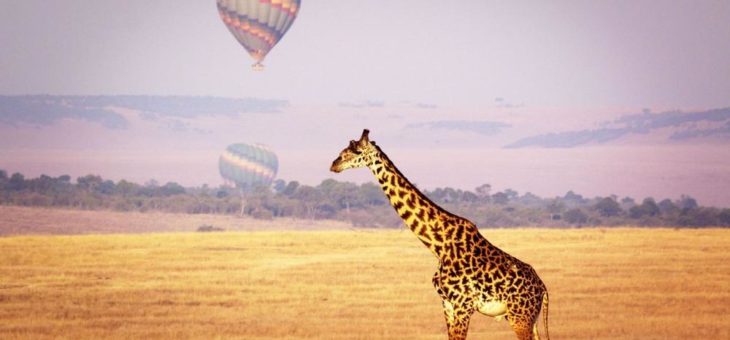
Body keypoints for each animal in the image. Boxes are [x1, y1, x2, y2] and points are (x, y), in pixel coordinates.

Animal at [330, 129, 544, 338]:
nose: (334, 164)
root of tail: (543, 289)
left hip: (520, 317)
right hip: (528, 319)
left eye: (356, 151)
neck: (439, 245)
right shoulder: (447, 304)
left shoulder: (463, 305)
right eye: (344, 149)